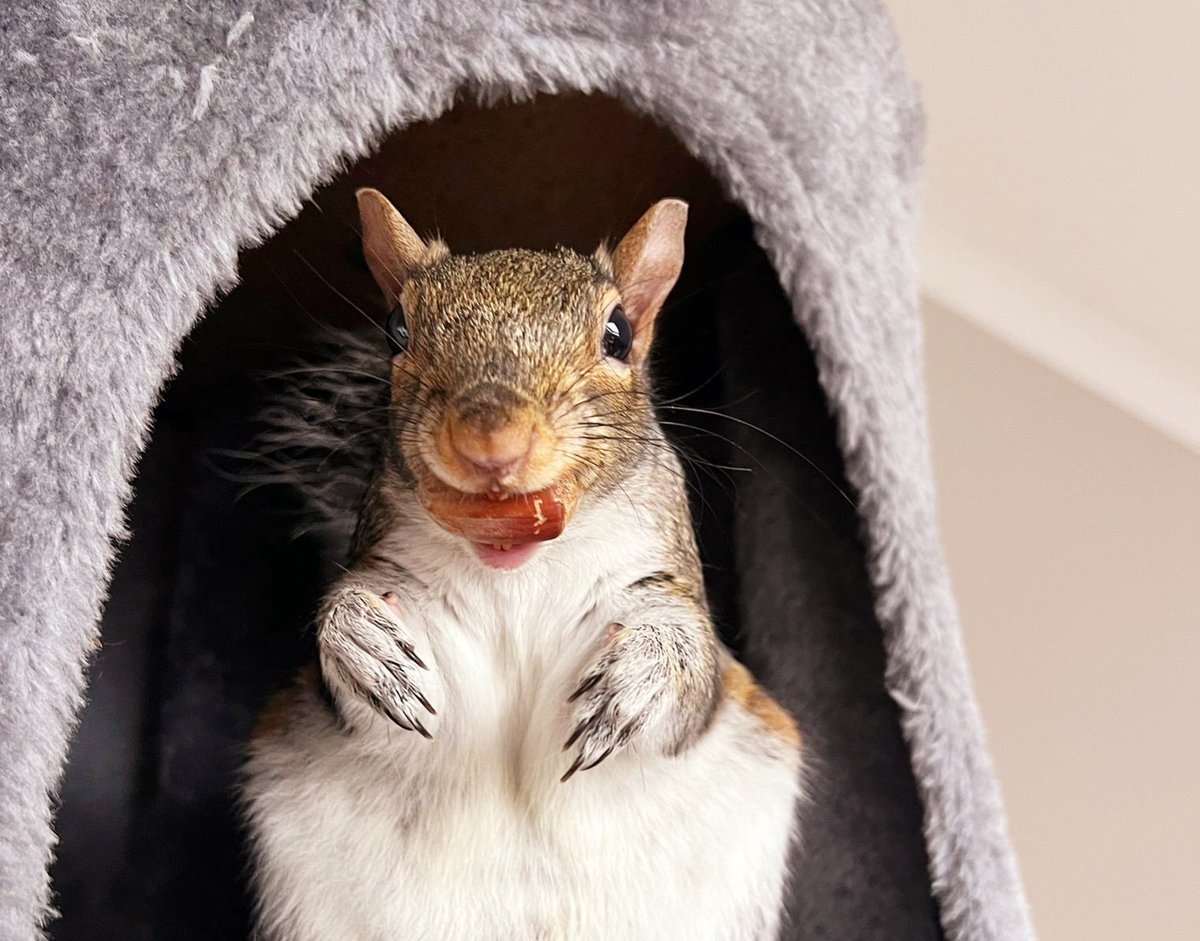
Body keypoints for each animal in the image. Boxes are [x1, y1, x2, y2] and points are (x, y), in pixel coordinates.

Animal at [240, 189, 803, 941]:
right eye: (396, 328)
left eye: (618, 333)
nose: (491, 439)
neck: (518, 573)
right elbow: (353, 654)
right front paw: (364, 642)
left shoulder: (673, 600)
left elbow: (692, 676)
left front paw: (639, 676)